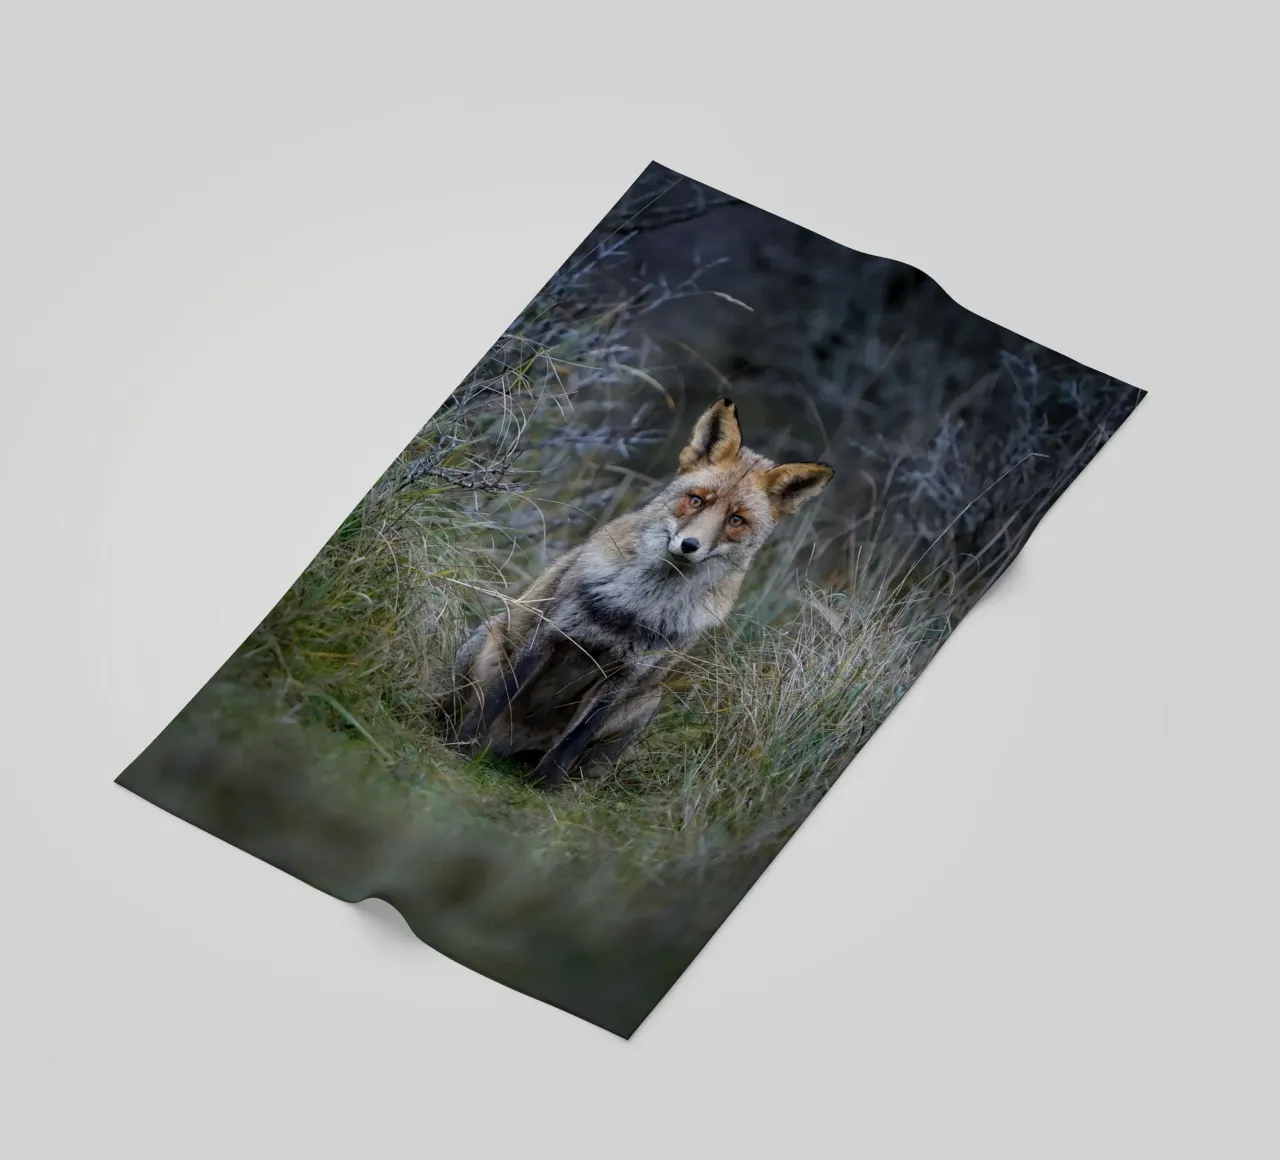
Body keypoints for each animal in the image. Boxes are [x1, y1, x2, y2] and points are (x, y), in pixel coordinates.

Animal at [448, 397, 834, 785]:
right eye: (696, 500)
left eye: (736, 520)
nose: (690, 545)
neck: (637, 607)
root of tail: (506, 747)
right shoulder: (550, 634)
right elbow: (499, 696)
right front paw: (462, 748)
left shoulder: (628, 674)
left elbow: (577, 737)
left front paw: (547, 785)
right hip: (488, 642)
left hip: (646, 703)